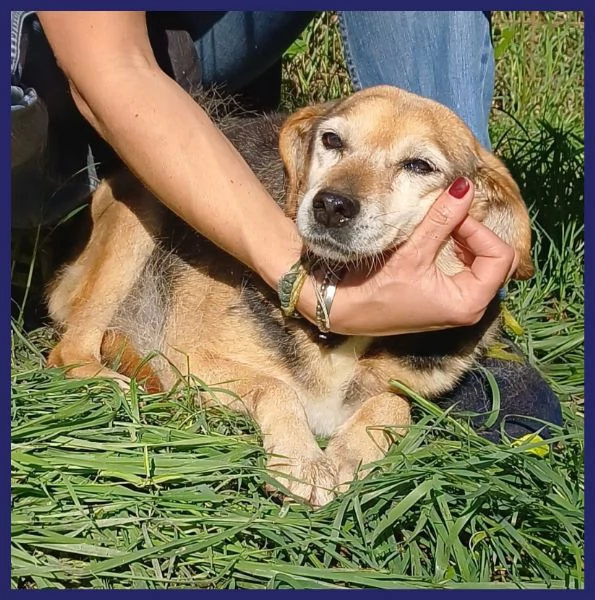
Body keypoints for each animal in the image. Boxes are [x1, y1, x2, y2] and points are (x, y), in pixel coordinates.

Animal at [44, 84, 532, 506]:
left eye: (419, 166)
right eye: (332, 140)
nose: (331, 205)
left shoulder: (404, 387)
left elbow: (394, 404)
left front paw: (348, 456)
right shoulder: (188, 358)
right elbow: (276, 386)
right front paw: (303, 461)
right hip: (142, 212)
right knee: (69, 351)